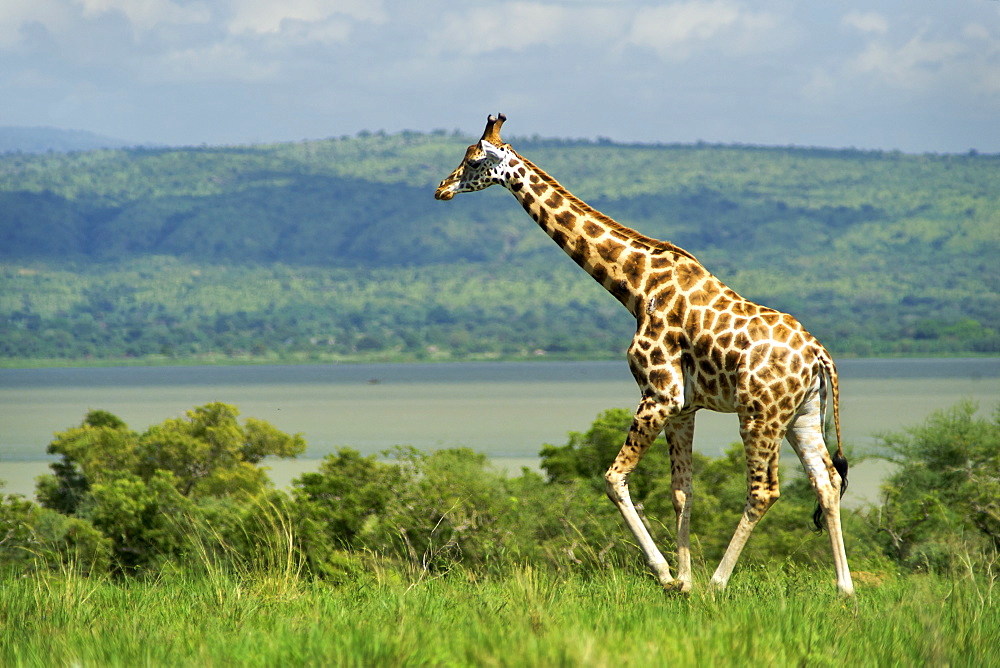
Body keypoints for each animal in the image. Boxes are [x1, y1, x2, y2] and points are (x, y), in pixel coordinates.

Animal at [434, 113, 856, 596]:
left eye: (472, 159)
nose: (441, 188)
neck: (636, 286)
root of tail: (820, 355)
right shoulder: (683, 407)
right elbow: (682, 491)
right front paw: (684, 579)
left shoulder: (659, 394)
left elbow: (614, 478)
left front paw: (667, 575)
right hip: (801, 415)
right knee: (826, 481)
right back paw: (844, 588)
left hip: (760, 415)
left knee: (764, 490)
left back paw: (719, 582)